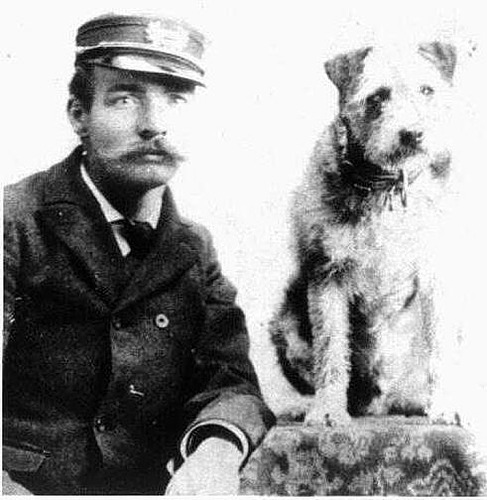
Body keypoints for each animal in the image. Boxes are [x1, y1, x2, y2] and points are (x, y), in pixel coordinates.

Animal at [272, 42, 464, 426]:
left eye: (427, 90)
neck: (386, 187)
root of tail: (380, 402)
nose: (413, 134)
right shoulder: (327, 273)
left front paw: (445, 404)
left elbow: (440, 348)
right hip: (285, 322)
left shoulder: (435, 277)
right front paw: (327, 410)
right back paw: (301, 406)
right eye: (377, 97)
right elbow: (330, 349)